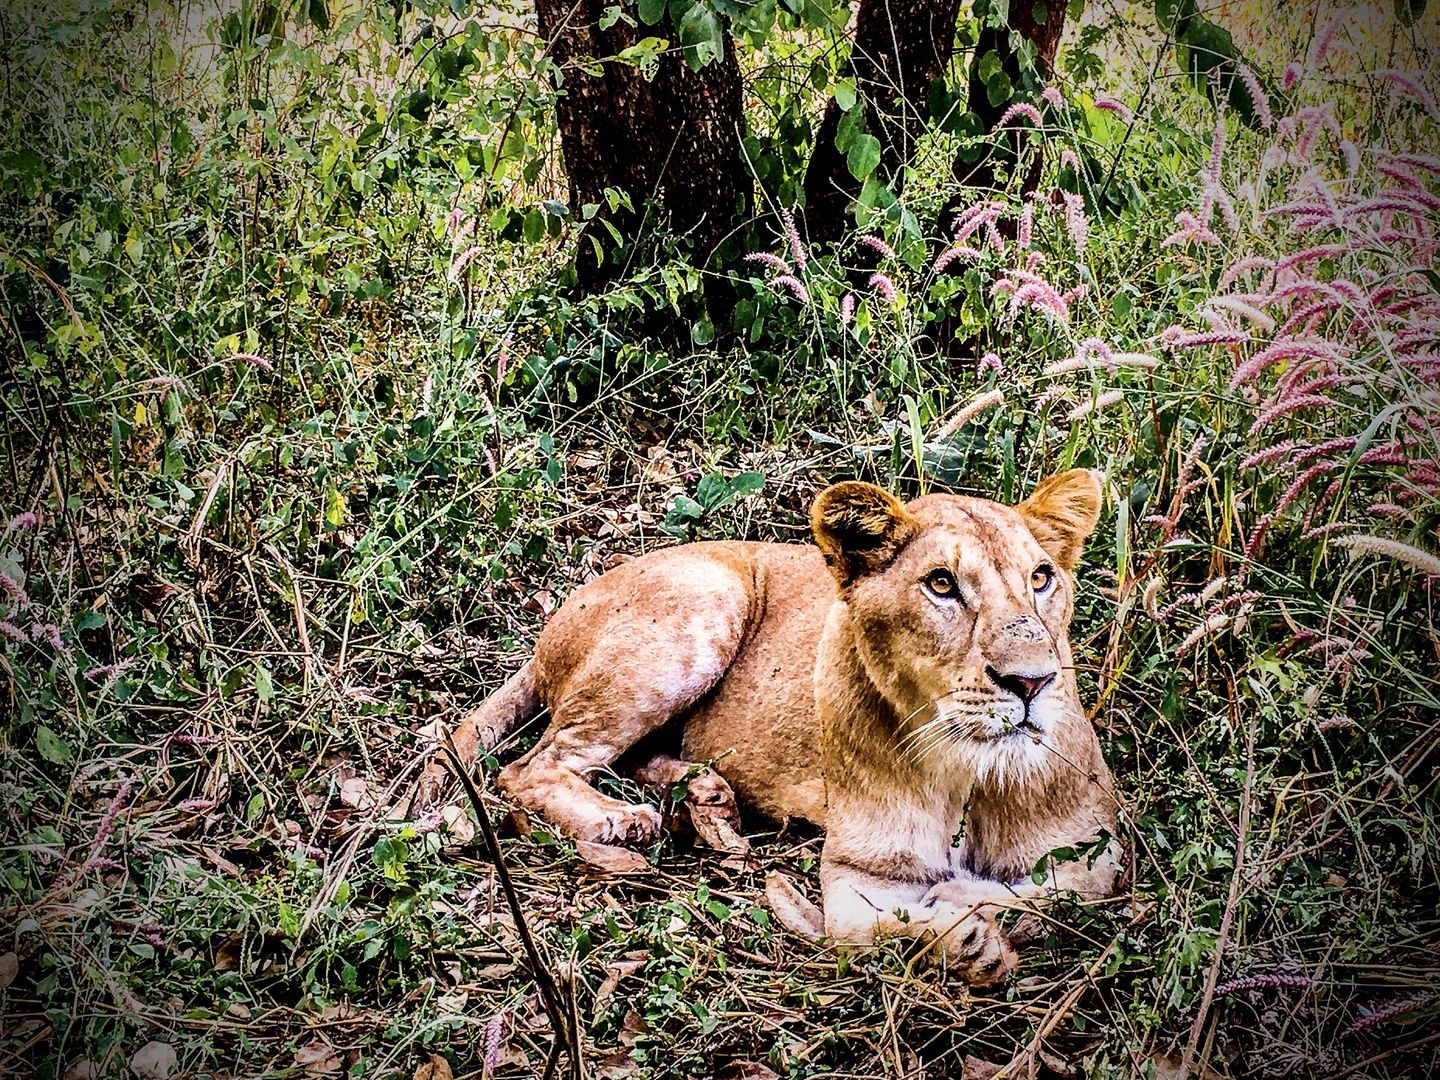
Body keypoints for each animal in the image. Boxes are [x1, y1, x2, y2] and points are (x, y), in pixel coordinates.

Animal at [426, 469, 1121, 982]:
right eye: (942, 585)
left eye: (1042, 578)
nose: (1031, 682)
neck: (974, 773)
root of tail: (554, 623)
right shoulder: (854, 871)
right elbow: (868, 925)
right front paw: (966, 937)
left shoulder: (1102, 852)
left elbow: (1055, 894)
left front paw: (965, 905)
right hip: (704, 601)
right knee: (533, 764)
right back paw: (620, 820)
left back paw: (707, 799)